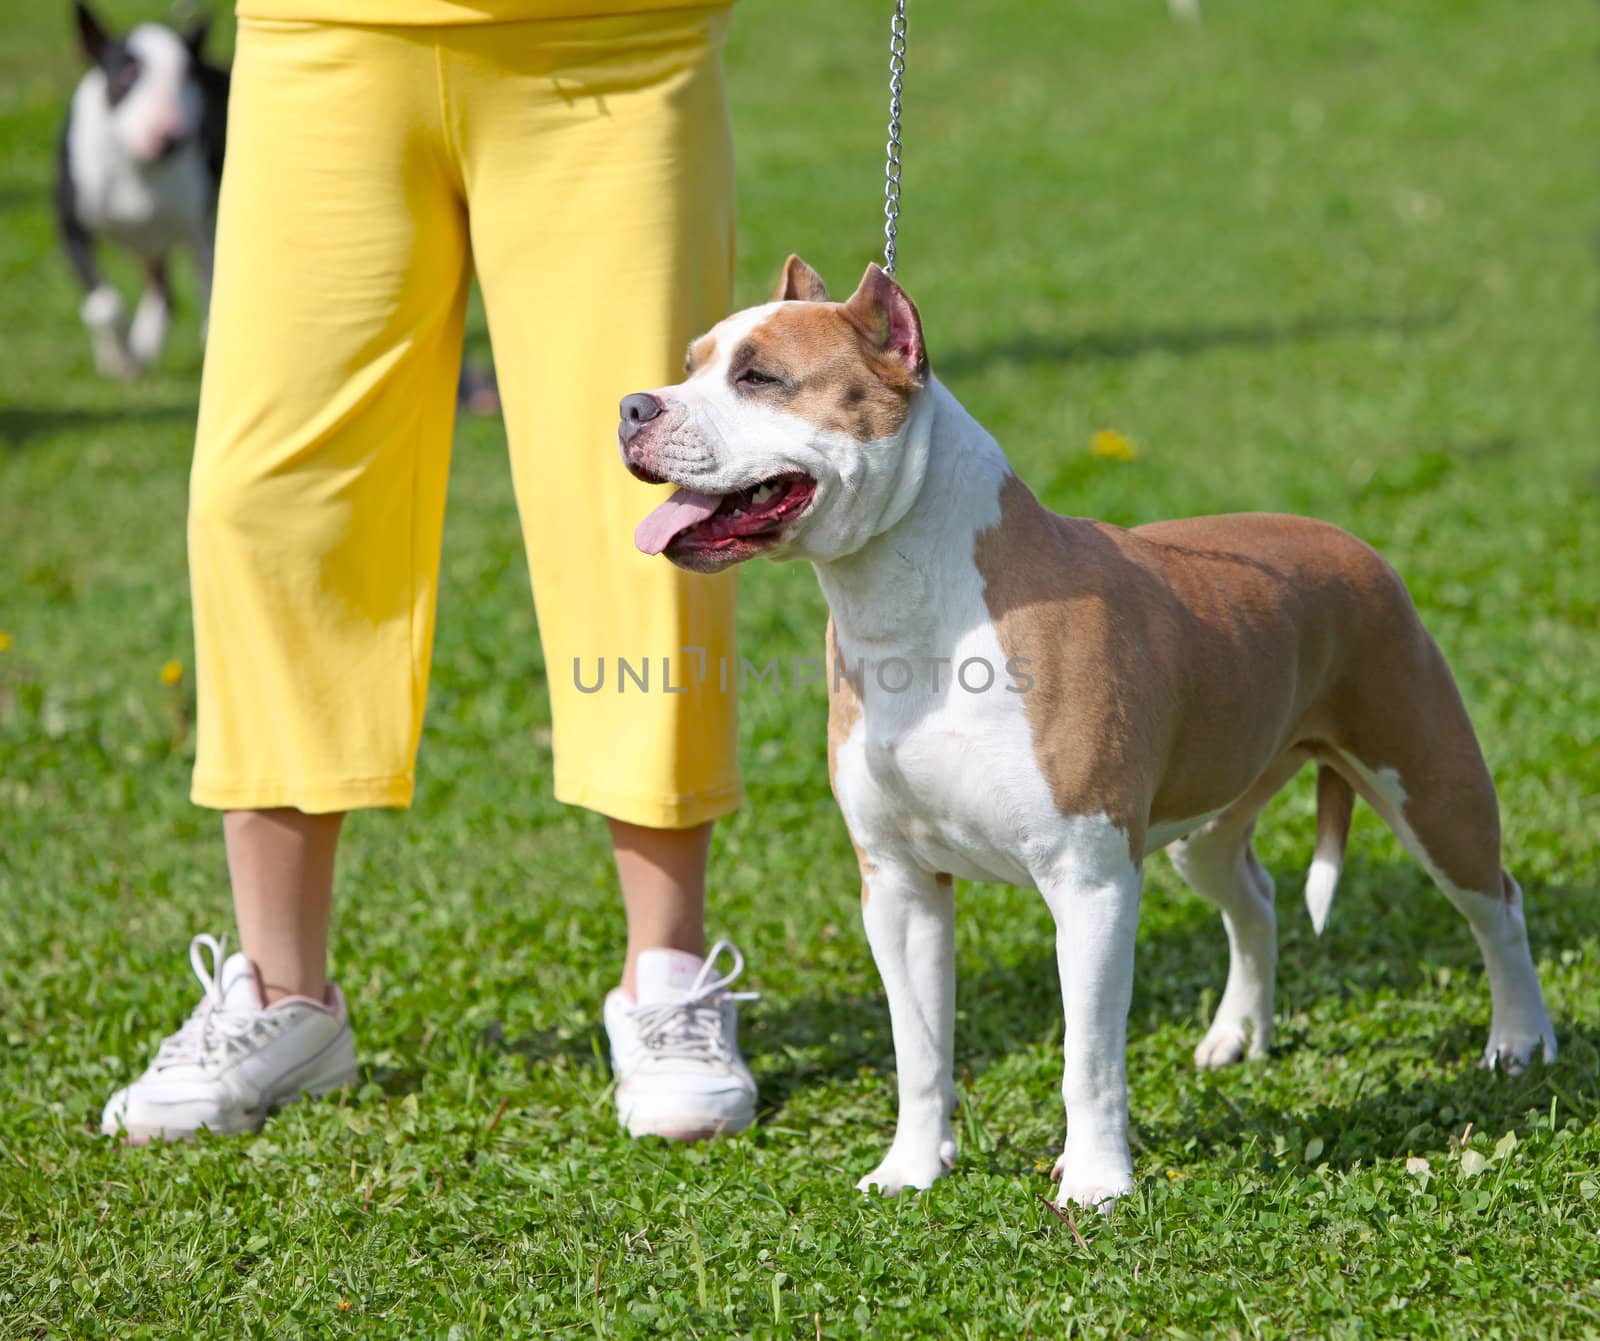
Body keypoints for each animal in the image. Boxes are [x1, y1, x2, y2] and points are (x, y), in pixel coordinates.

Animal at [56, 5, 224, 377]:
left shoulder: (201, 231)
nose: (171, 138)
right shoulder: (72, 229)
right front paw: (119, 359)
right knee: (159, 289)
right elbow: (104, 304)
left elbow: (211, 294)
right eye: (128, 72)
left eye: (187, 75)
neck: (139, 169)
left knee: (165, 291)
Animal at [611, 257, 1548, 1209]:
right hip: (1208, 824)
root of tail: (1353, 545)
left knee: (1498, 904)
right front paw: (911, 1167)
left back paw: (1518, 1043)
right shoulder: (899, 885)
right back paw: (1238, 1035)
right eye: (689, 365)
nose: (634, 406)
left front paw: (1096, 1182)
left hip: (1431, 785)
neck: (916, 605)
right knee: (1254, 896)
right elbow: (919, 1049)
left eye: (759, 377)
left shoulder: (1088, 881)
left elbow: (1087, 1055)